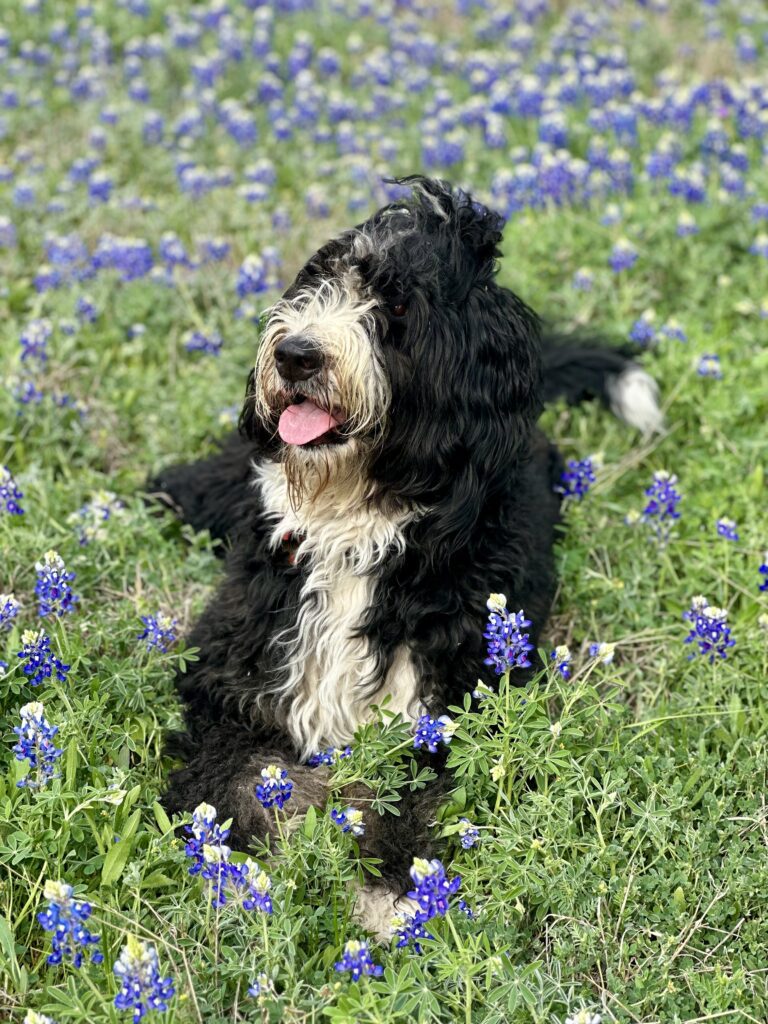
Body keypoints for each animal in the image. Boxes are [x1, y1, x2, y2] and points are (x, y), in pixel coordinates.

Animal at [153, 178, 663, 937]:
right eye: (318, 281)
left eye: (396, 306)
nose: (295, 354)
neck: (358, 521)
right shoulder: (236, 680)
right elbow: (243, 782)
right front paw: (248, 874)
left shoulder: (450, 702)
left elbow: (416, 797)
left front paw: (394, 890)